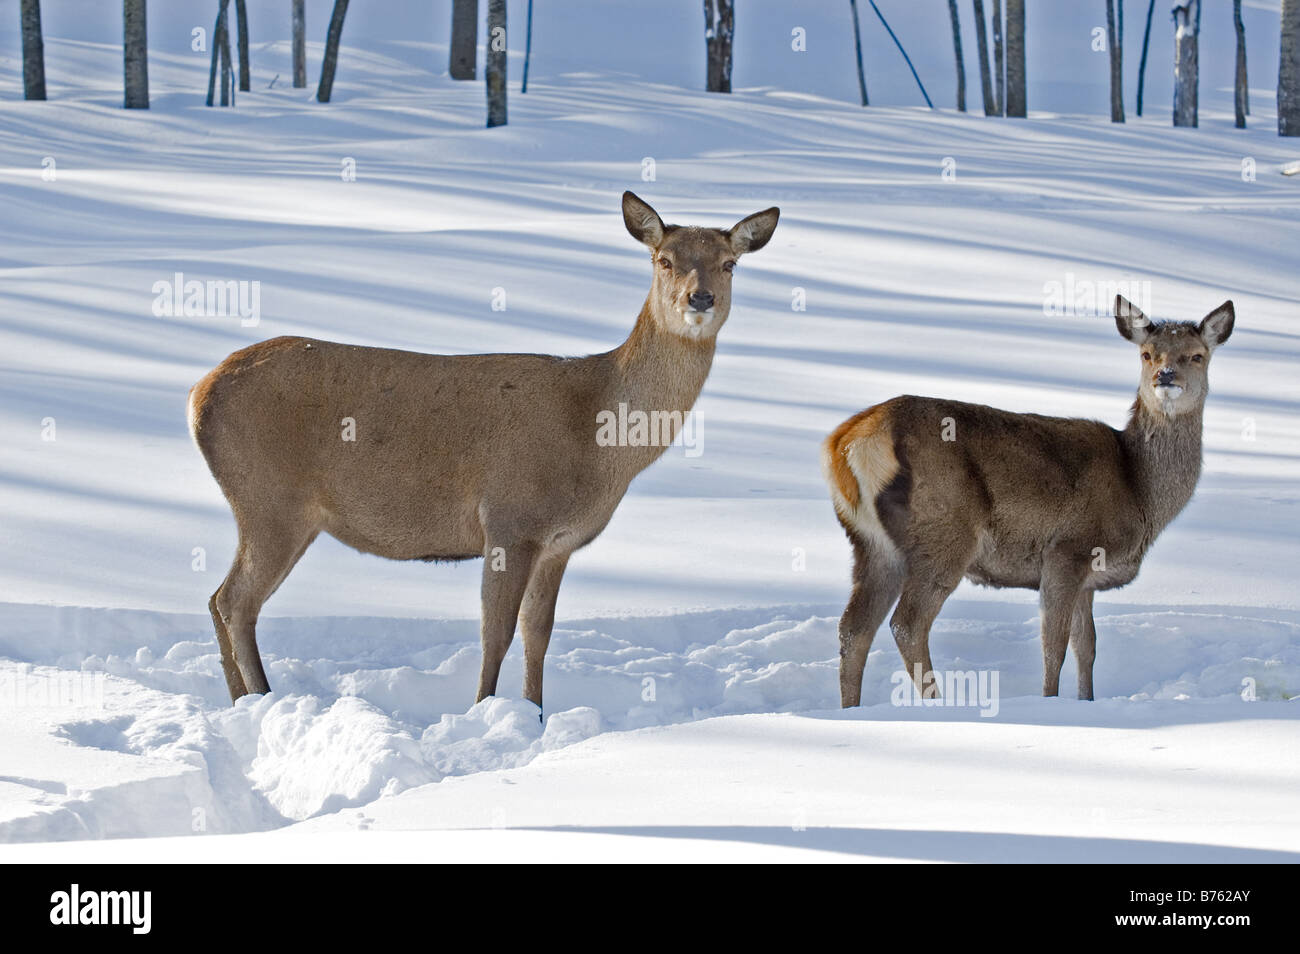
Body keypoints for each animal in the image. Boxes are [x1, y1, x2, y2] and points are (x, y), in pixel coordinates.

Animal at [188, 192, 779, 708]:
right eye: (664, 259)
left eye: (729, 263)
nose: (699, 298)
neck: (599, 439)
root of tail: (198, 394)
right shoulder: (509, 519)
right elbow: (496, 633)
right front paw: (483, 711)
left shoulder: (558, 543)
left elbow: (538, 634)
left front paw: (535, 713)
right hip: (270, 499)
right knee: (235, 601)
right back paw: (263, 697)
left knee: (218, 599)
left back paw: (240, 700)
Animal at [823, 295, 1234, 706]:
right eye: (1147, 354)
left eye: (1197, 355)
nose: (1165, 376)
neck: (1137, 488)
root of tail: (847, 440)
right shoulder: (1068, 550)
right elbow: (1054, 645)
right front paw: (1050, 702)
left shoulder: (1088, 579)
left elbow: (1088, 647)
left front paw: (1088, 702)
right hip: (943, 531)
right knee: (907, 623)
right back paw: (936, 704)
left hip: (871, 542)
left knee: (854, 627)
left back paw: (851, 707)